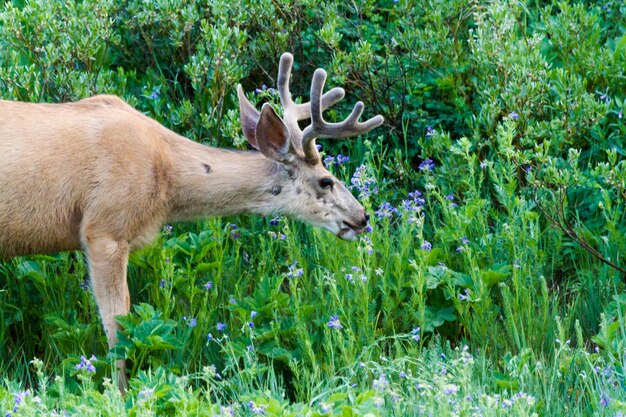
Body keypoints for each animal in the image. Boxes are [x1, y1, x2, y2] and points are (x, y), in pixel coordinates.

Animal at [0, 52, 380, 390]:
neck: (165, 176)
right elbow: (119, 325)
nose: (362, 217)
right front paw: (119, 392)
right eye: (326, 181)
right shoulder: (104, 228)